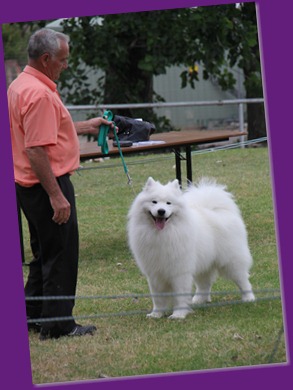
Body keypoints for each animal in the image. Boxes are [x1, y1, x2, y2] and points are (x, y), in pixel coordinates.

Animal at [126, 178, 254, 318]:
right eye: (154, 202)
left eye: (168, 203)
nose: (161, 211)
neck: (162, 234)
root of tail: (217, 210)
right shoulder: (155, 273)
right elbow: (158, 298)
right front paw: (156, 314)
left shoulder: (180, 272)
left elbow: (179, 296)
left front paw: (178, 315)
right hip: (203, 264)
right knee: (204, 284)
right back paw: (198, 300)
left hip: (231, 263)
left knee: (243, 280)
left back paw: (249, 298)